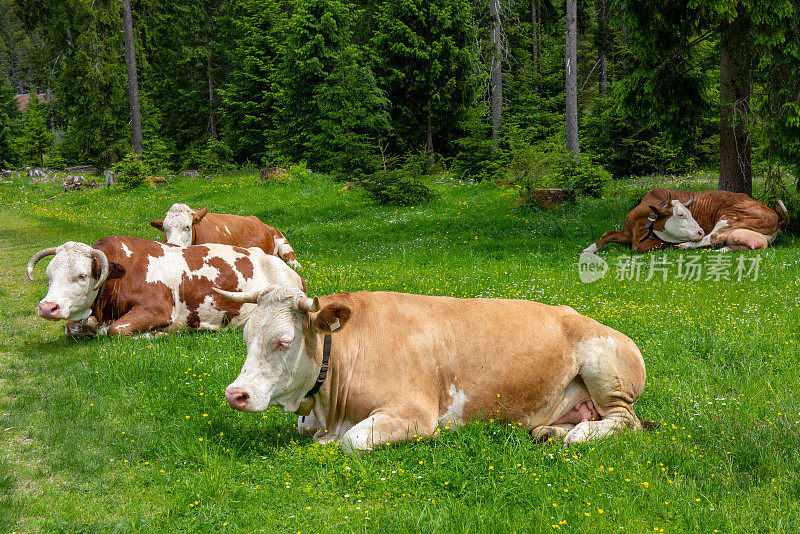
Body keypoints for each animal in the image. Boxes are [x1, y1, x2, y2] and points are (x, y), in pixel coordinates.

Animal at [26, 238, 304, 338]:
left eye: (82, 275)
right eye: (48, 275)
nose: (47, 307)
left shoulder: (158, 309)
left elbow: (116, 331)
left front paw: (159, 334)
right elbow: (71, 329)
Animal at [214, 288, 648, 456]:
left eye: (284, 341)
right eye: (246, 337)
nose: (236, 394)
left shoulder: (414, 412)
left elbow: (351, 441)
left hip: (606, 372)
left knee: (626, 421)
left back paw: (577, 435)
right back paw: (548, 432)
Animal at [580, 188, 788, 255]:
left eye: (690, 212)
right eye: (680, 215)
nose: (700, 230)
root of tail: (777, 216)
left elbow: (641, 248)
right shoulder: (627, 231)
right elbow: (607, 234)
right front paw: (588, 249)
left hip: (729, 217)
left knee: (711, 238)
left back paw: (684, 246)